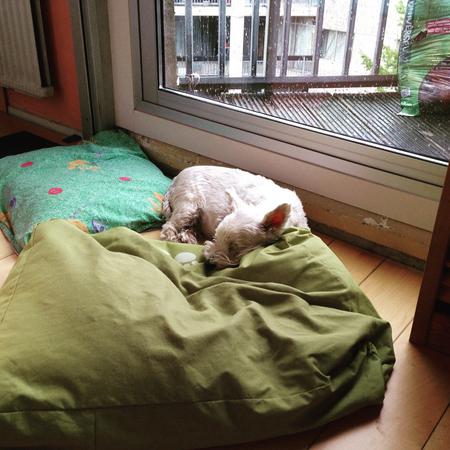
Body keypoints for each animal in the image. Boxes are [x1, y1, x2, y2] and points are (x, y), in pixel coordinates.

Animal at [160, 165, 308, 268]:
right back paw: (172, 238)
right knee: (170, 225)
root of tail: (175, 179)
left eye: (234, 247)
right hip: (190, 205)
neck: (268, 203)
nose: (209, 262)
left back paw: (188, 236)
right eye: (216, 237)